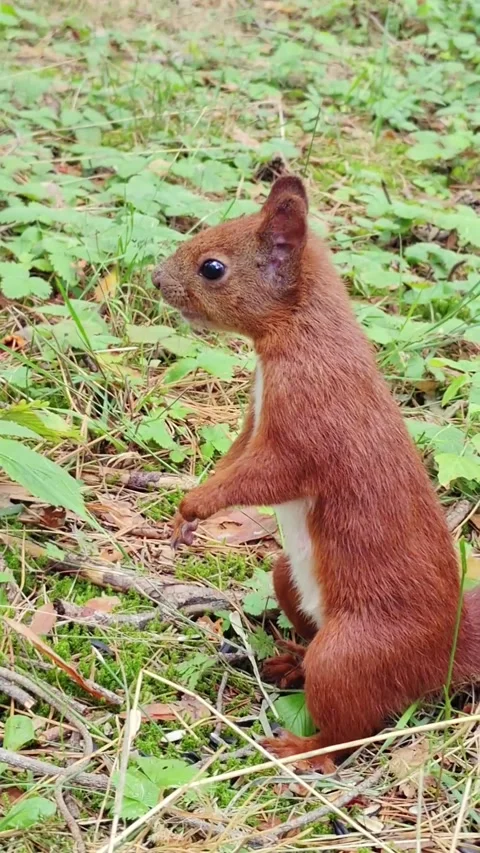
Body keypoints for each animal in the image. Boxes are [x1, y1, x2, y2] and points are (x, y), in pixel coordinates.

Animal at [152, 175, 480, 772]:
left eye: (213, 267)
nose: (156, 279)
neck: (298, 333)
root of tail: (442, 654)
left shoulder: (311, 424)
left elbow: (265, 476)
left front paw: (195, 506)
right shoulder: (253, 422)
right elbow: (235, 456)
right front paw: (186, 511)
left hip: (350, 653)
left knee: (349, 731)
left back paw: (299, 748)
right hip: (288, 577)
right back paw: (290, 663)